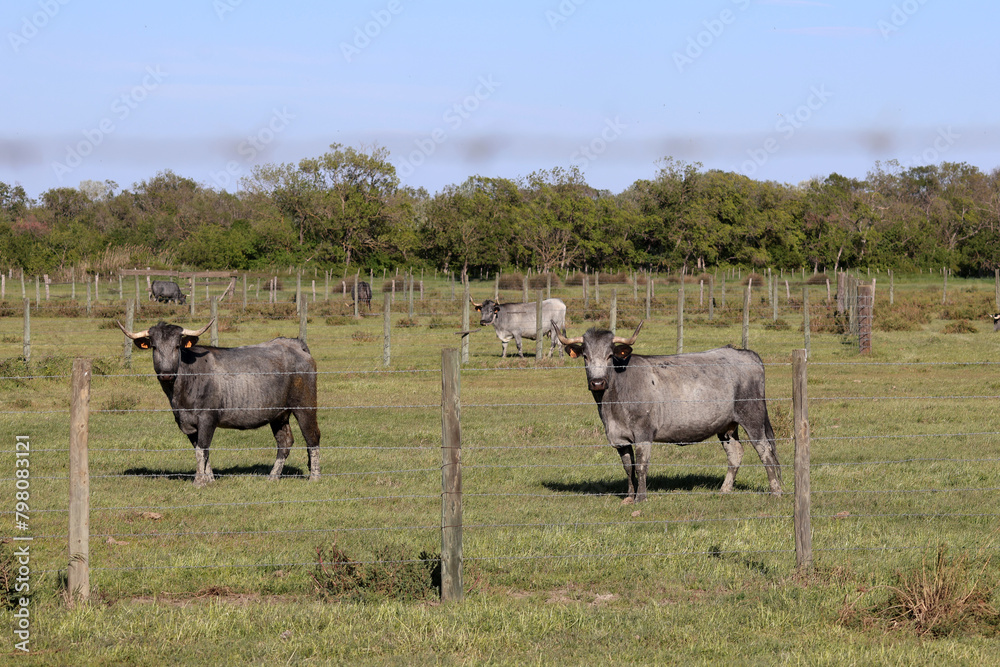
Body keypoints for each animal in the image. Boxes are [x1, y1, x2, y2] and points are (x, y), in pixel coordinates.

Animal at [116, 320, 320, 488]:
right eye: (155, 347)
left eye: (176, 346)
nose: (166, 373)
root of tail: (293, 344)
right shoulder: (188, 422)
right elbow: (201, 450)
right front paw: (210, 479)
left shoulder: (207, 418)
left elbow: (202, 449)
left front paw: (199, 482)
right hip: (278, 414)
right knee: (284, 442)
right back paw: (273, 477)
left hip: (305, 406)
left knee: (312, 437)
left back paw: (314, 477)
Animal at [556, 320, 780, 504]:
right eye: (585, 356)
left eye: (610, 355)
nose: (597, 382)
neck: (612, 404)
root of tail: (745, 353)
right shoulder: (619, 438)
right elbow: (628, 467)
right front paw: (629, 497)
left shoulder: (643, 433)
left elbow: (641, 466)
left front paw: (641, 499)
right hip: (726, 425)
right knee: (735, 452)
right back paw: (724, 490)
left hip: (752, 416)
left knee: (765, 450)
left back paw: (775, 492)